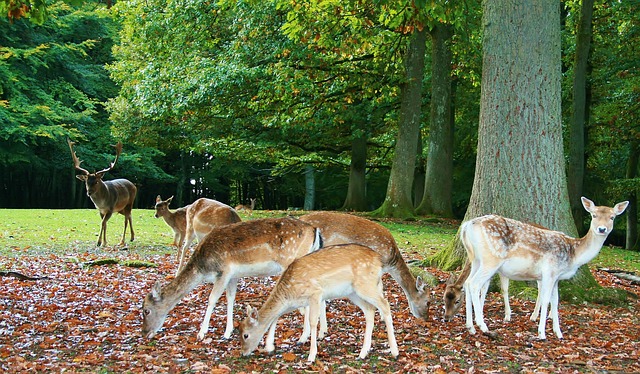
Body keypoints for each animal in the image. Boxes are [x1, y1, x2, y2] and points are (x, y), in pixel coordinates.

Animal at [140, 216, 320, 342]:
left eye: (146, 310)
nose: (144, 332)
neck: (203, 268)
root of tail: (313, 229)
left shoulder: (223, 272)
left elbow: (212, 299)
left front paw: (201, 333)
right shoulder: (233, 276)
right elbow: (230, 298)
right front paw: (227, 332)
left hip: (291, 261)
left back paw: (303, 337)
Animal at [240, 244, 400, 360]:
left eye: (245, 335)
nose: (243, 353)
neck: (289, 294)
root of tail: (379, 260)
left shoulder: (315, 293)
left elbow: (312, 321)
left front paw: (311, 355)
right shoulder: (295, 303)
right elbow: (276, 317)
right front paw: (269, 347)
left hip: (366, 285)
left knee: (385, 305)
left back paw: (394, 352)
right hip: (353, 292)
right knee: (370, 310)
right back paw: (363, 353)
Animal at [298, 212, 430, 344]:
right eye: (428, 302)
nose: (426, 318)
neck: (391, 262)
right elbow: (380, 287)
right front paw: (381, 315)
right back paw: (309, 334)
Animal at [460, 197, 632, 340]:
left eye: (612, 217)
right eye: (594, 215)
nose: (602, 229)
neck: (573, 255)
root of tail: (467, 226)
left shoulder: (556, 277)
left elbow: (555, 301)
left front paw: (558, 333)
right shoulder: (549, 271)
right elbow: (545, 299)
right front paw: (541, 333)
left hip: (475, 259)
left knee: (467, 283)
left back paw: (470, 327)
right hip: (491, 259)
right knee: (474, 284)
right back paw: (482, 325)